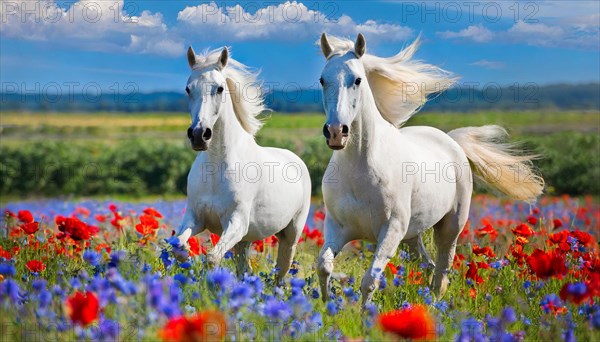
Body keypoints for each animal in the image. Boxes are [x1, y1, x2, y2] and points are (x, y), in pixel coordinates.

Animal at [175, 46, 312, 280]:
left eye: (220, 88)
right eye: (187, 89)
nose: (199, 135)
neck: (216, 169)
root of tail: (296, 158)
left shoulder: (236, 222)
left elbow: (212, 258)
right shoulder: (195, 218)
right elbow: (178, 248)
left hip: (290, 234)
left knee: (281, 271)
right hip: (244, 241)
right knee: (244, 269)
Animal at [316, 32, 548, 304]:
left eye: (357, 80)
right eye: (322, 80)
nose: (335, 132)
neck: (360, 169)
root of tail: (451, 140)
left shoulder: (391, 231)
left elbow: (369, 281)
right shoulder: (337, 227)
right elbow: (324, 266)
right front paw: (326, 305)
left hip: (450, 227)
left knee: (442, 270)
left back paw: (436, 303)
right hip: (411, 235)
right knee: (427, 265)